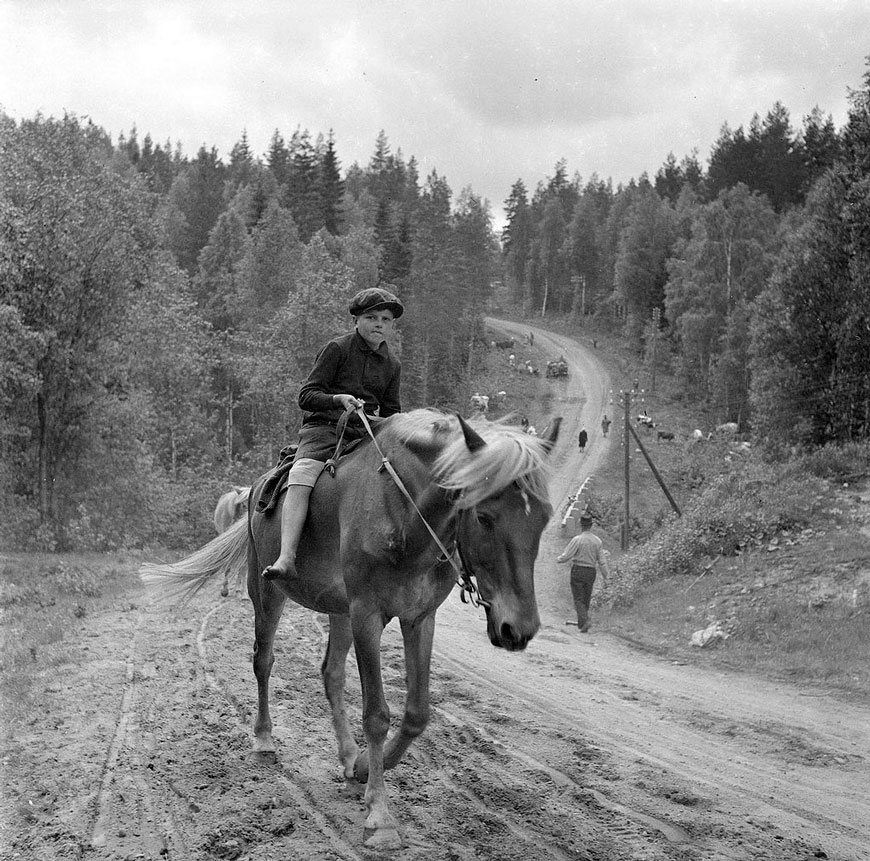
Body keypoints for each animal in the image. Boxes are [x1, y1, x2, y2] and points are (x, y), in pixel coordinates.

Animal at [141, 408, 564, 848]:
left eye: (545, 518)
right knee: (263, 660)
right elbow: (376, 714)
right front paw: (380, 816)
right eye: (484, 516)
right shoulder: (367, 615)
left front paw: (361, 768)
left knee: (331, 673)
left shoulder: (419, 618)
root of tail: (254, 489)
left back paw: (347, 758)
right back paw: (264, 740)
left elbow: (417, 713)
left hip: (339, 612)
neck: (405, 515)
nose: (518, 629)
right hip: (267, 592)